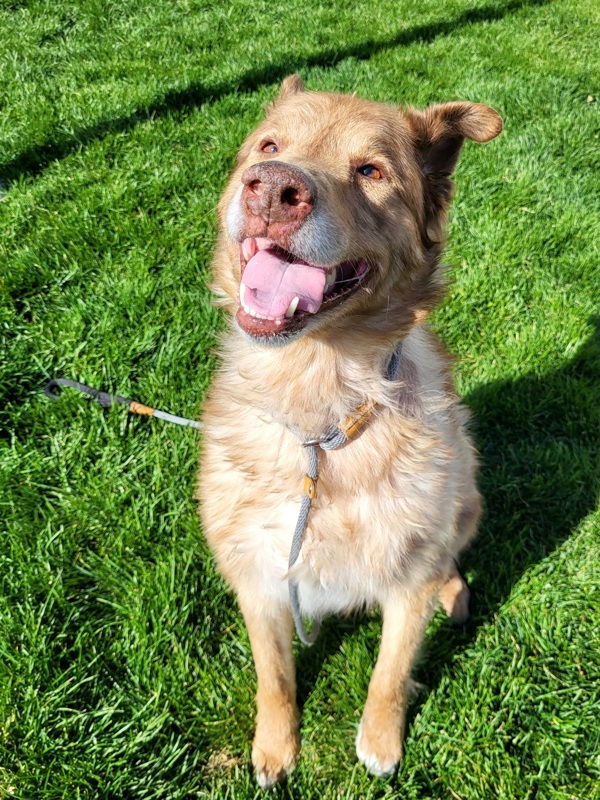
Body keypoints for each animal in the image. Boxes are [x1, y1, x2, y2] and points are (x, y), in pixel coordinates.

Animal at [197, 75, 502, 788]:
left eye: (370, 171)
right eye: (268, 146)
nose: (271, 189)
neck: (321, 418)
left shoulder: (409, 575)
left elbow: (389, 674)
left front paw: (381, 743)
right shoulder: (260, 576)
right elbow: (274, 679)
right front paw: (275, 749)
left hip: (468, 498)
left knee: (452, 559)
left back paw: (455, 594)